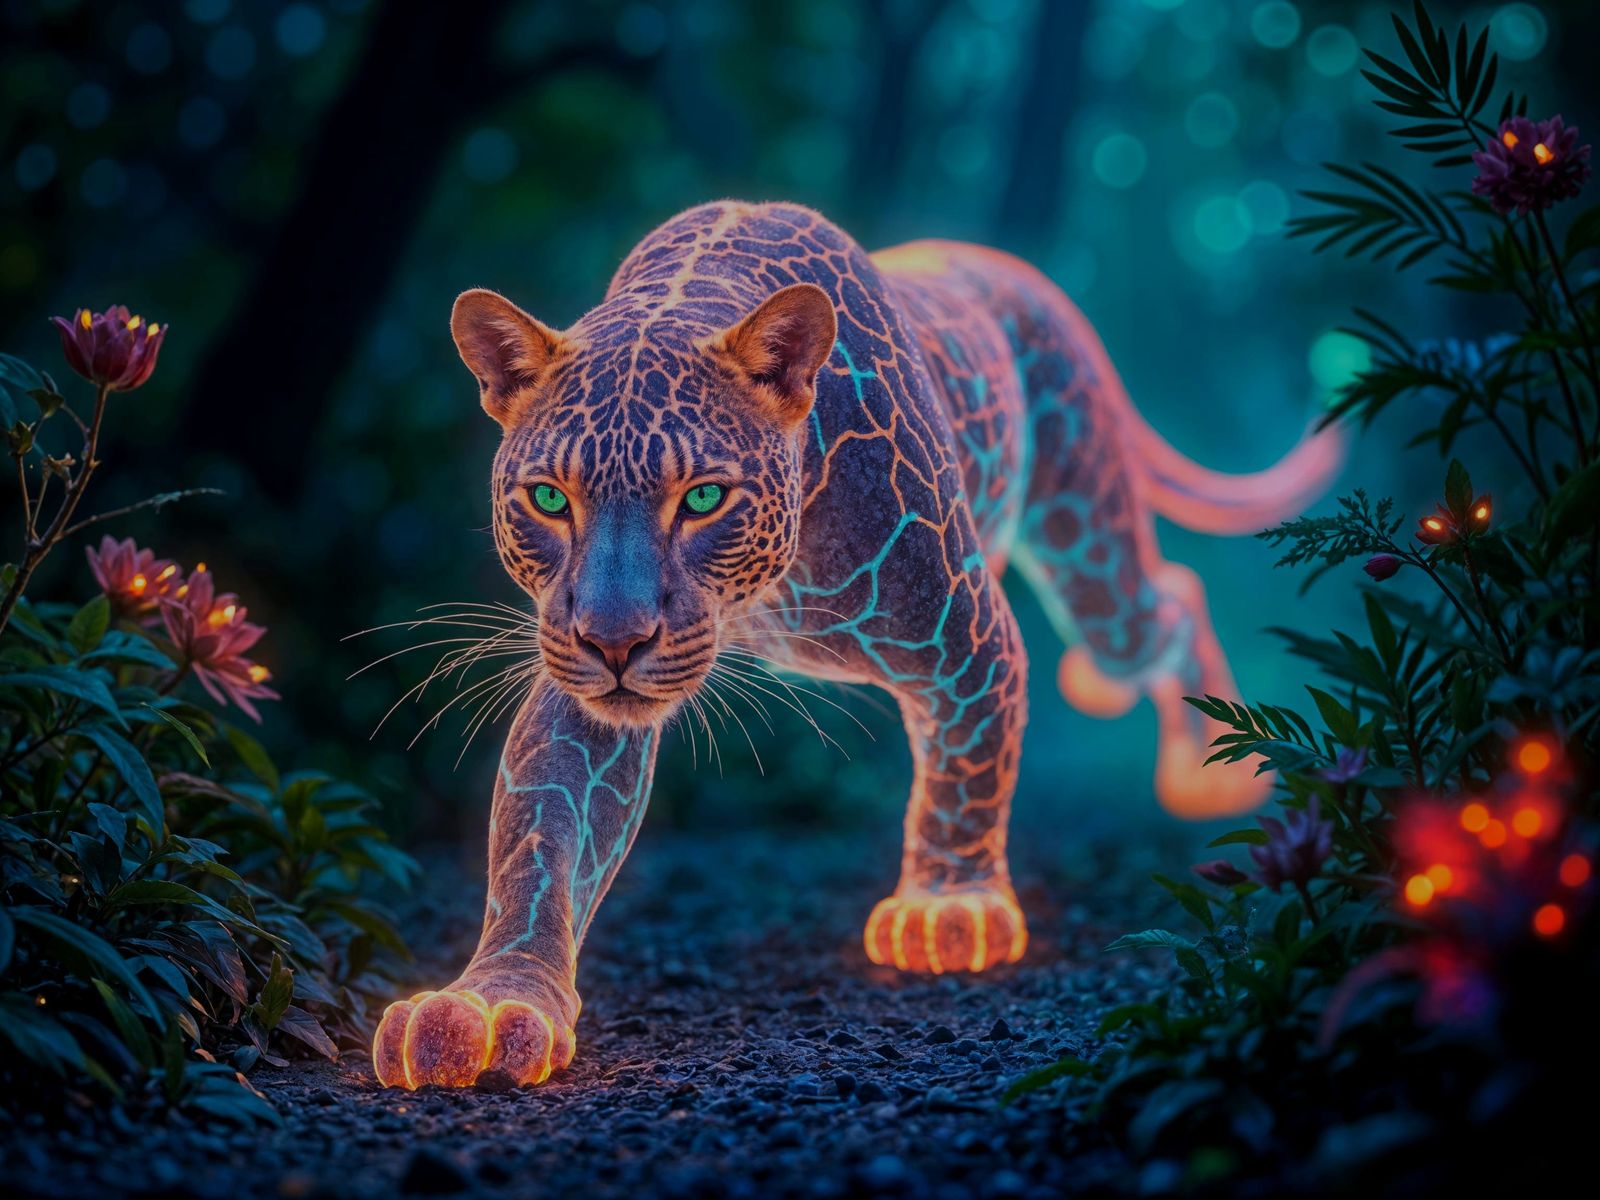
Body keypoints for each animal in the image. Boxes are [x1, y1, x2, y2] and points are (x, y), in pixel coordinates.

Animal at [372, 201, 1341, 1090]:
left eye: (703, 498)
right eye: (547, 498)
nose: (615, 640)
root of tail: (1025, 278)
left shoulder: (967, 637)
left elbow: (966, 772)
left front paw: (949, 908)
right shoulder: (582, 693)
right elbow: (542, 835)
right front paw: (492, 1005)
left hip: (1089, 547)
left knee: (1165, 603)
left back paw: (1202, 771)